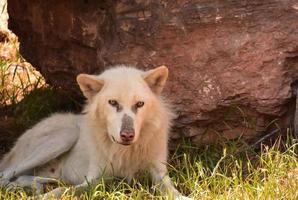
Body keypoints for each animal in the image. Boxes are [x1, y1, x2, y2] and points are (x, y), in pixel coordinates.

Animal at [0, 65, 191, 198]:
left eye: (139, 104)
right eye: (113, 103)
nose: (127, 135)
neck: (125, 152)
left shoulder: (159, 174)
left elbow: (173, 191)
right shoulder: (94, 179)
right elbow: (63, 191)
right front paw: (44, 196)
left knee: (25, 178)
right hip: (65, 136)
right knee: (6, 175)